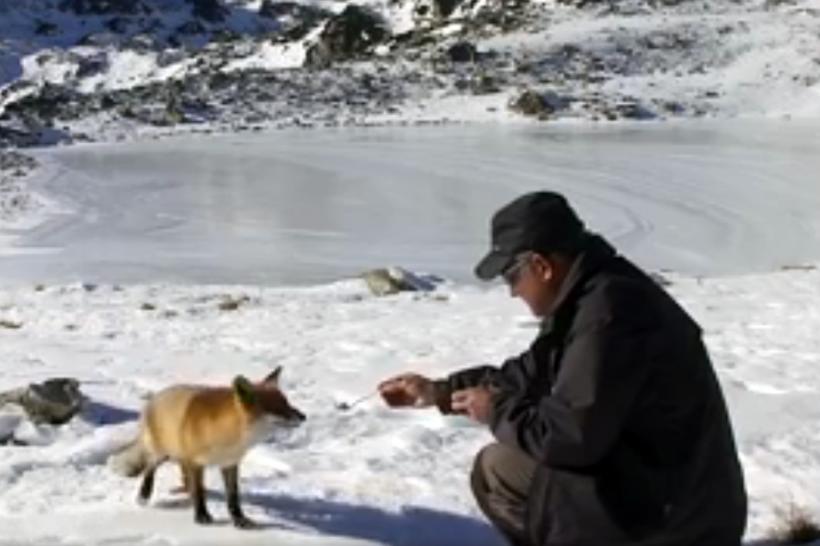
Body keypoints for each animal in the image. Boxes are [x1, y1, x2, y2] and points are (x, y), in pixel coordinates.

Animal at [107, 366, 302, 528]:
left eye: (287, 403)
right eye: (277, 408)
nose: (304, 416)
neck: (227, 437)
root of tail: (155, 397)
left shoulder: (229, 463)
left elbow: (233, 497)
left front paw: (239, 519)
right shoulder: (196, 463)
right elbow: (200, 493)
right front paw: (201, 516)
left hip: (178, 453)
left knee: (182, 474)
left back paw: (185, 490)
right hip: (163, 453)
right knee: (150, 468)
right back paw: (144, 494)